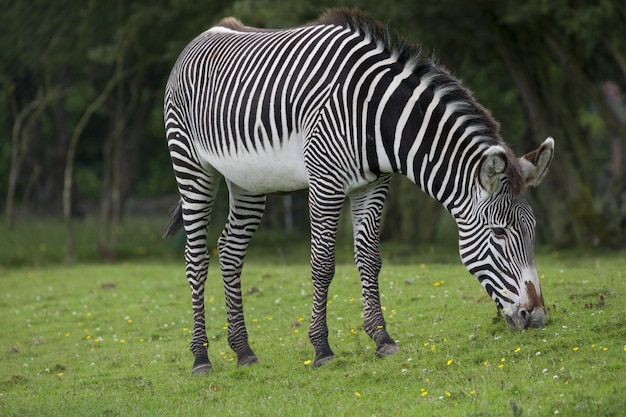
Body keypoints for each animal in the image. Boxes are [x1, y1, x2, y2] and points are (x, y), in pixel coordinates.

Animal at [163, 8, 552, 374]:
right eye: (499, 233)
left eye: (533, 229)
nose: (536, 318)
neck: (378, 118)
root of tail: (205, 34)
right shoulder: (325, 182)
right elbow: (322, 263)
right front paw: (322, 349)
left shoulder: (374, 184)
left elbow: (369, 259)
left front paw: (382, 339)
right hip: (191, 165)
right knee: (196, 258)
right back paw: (201, 357)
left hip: (247, 180)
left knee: (230, 252)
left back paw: (243, 351)